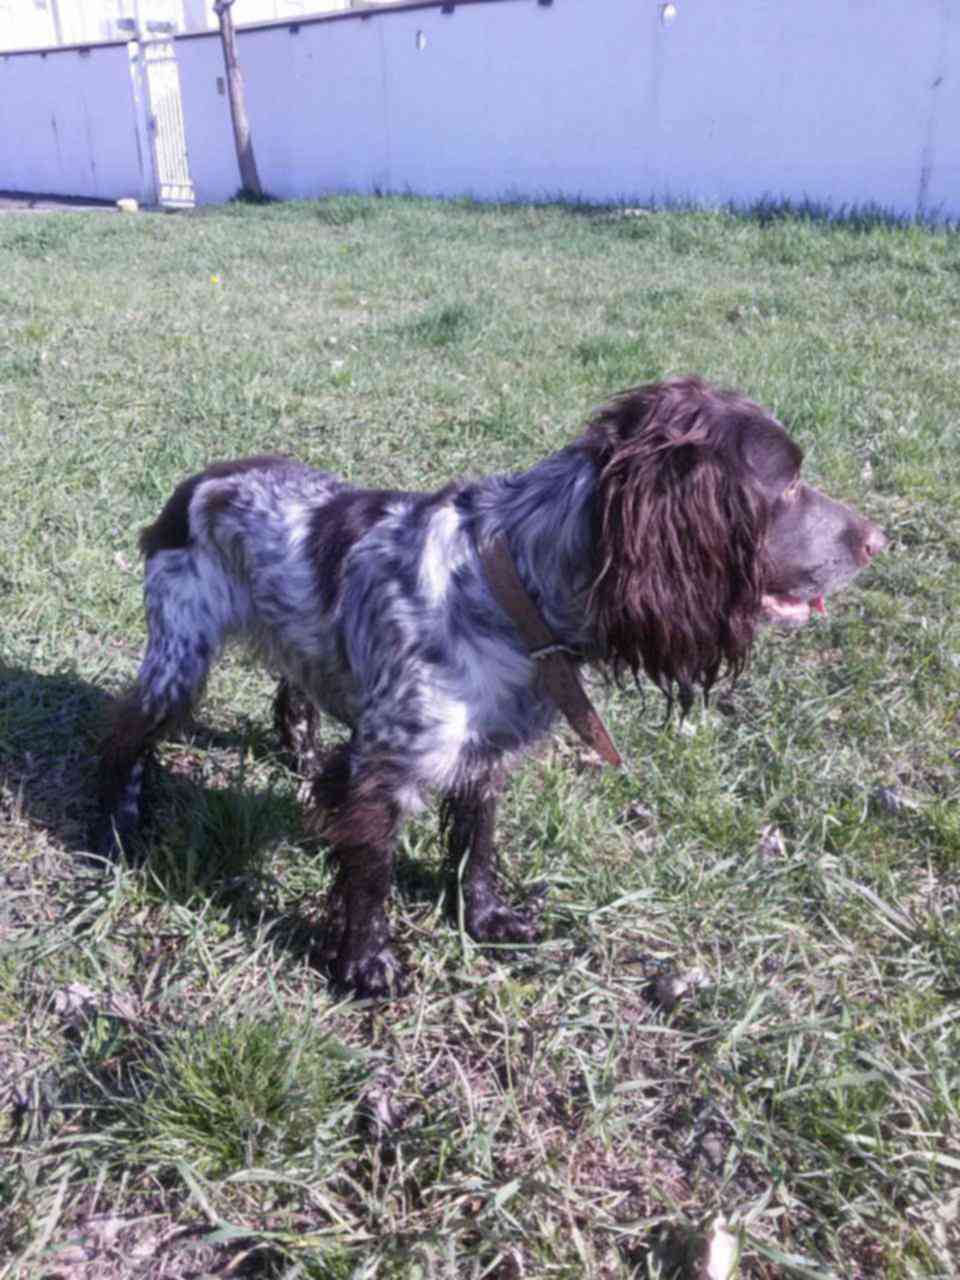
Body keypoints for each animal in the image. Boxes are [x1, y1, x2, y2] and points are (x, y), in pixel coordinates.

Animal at [97, 376, 886, 996]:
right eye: (787, 483)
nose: (878, 541)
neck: (509, 583)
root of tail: (193, 484)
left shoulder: (486, 754)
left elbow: (476, 848)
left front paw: (484, 921)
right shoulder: (383, 771)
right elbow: (371, 877)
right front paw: (367, 965)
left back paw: (296, 750)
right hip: (179, 657)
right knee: (125, 730)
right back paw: (117, 824)